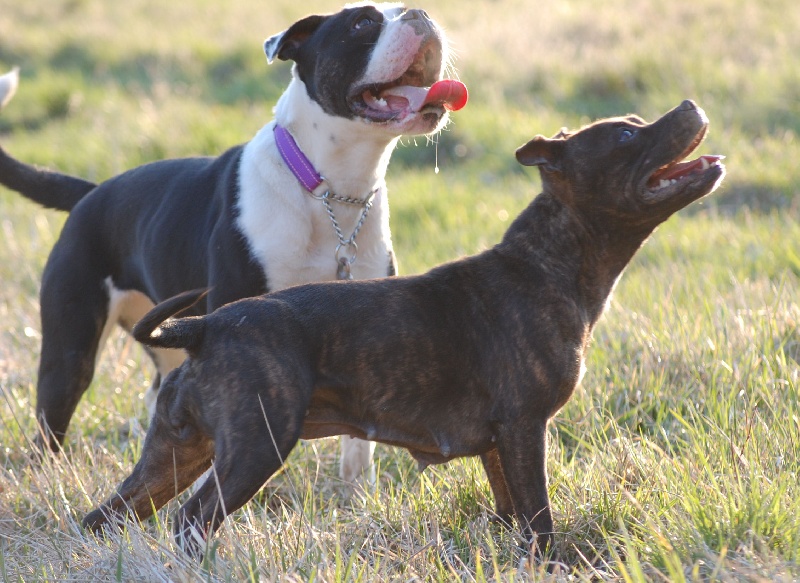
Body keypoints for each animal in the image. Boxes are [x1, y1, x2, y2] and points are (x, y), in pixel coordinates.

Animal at [0, 2, 468, 484]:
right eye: (362, 23)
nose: (420, 13)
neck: (329, 190)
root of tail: (91, 193)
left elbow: (359, 441)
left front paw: (356, 491)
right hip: (70, 349)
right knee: (53, 419)